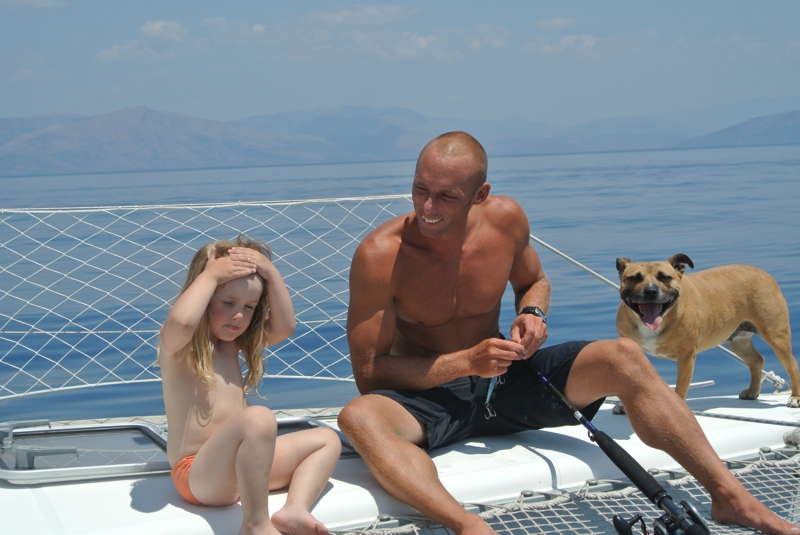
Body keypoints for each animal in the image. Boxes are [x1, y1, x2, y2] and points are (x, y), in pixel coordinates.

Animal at [616, 253, 800, 407]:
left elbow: (681, 386)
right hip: (738, 342)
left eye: (665, 277)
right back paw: (752, 392)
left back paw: (795, 398)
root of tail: (765, 274)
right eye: (634, 278)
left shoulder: (686, 357)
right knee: (756, 361)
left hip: (777, 337)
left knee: (792, 364)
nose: (650, 291)